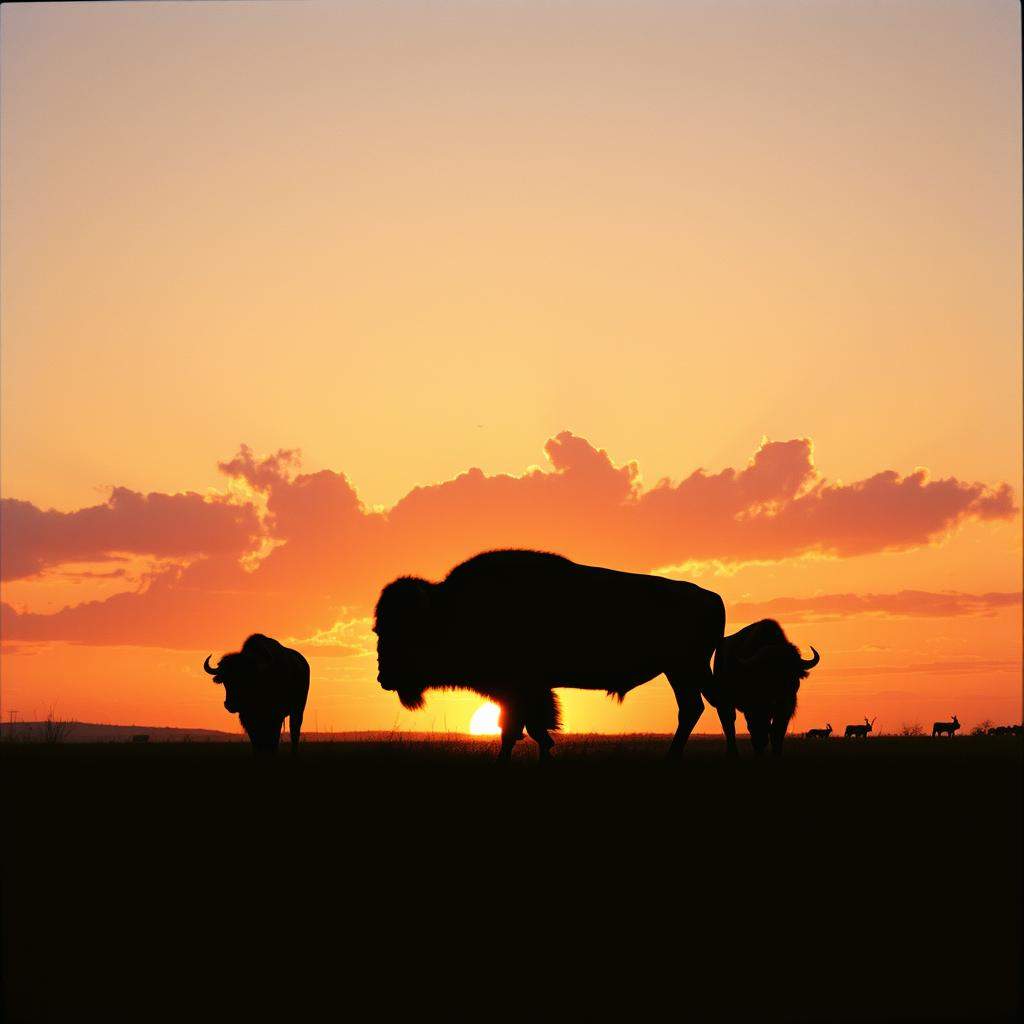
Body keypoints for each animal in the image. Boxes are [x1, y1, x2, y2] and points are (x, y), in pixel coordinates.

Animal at [374, 549, 725, 760]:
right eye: (380, 629)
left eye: (401, 630)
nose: (382, 677)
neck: (447, 610)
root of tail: (712, 597)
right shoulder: (521, 692)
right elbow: (525, 728)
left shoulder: (522, 689)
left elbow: (520, 729)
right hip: (686, 671)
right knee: (705, 706)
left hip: (685, 669)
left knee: (698, 707)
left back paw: (675, 758)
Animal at [711, 619, 820, 756]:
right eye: (768, 672)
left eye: (793, 674)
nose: (781, 696)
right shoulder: (754, 708)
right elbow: (758, 731)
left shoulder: (785, 709)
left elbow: (777, 732)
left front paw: (776, 753)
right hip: (724, 704)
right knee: (729, 725)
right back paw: (733, 753)